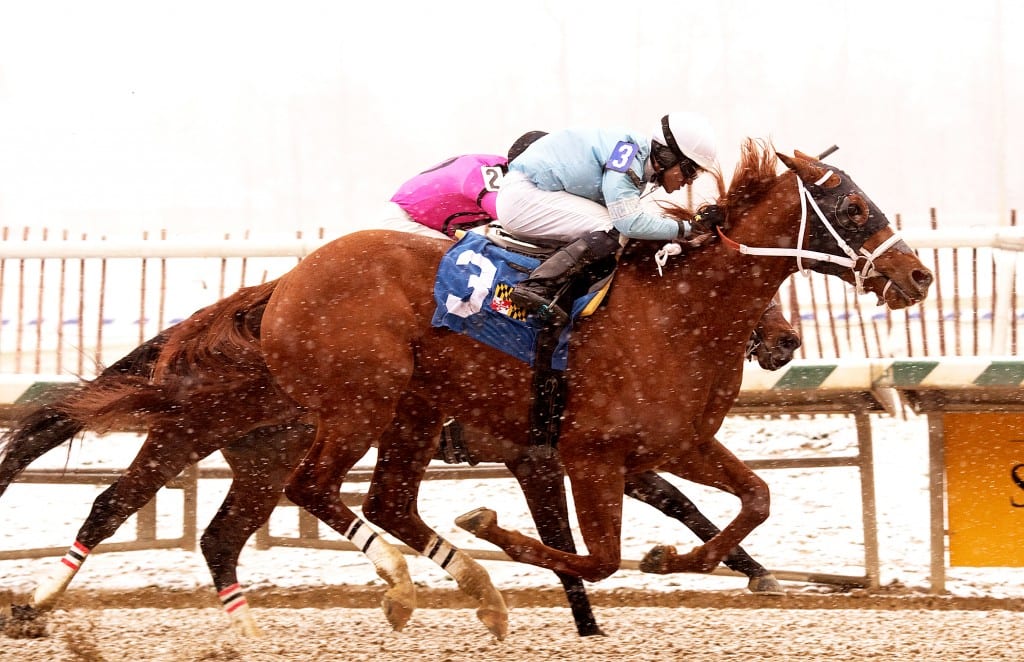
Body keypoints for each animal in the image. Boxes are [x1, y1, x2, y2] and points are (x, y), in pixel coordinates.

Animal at [0, 286, 798, 643]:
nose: (785, 342)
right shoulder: (550, 459)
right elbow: (605, 524)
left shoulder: (585, 455)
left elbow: (662, 508)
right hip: (193, 431)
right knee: (111, 504)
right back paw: (34, 604)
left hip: (260, 455)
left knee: (220, 536)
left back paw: (249, 632)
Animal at [245, 138, 929, 639]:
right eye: (854, 210)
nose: (917, 276)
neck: (679, 313)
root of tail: (286, 282)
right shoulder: (586, 456)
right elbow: (596, 557)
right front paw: (494, 529)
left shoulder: (676, 444)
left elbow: (754, 499)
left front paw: (675, 561)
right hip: (361, 405)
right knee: (313, 486)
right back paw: (404, 583)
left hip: (414, 410)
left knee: (387, 501)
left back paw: (476, 592)